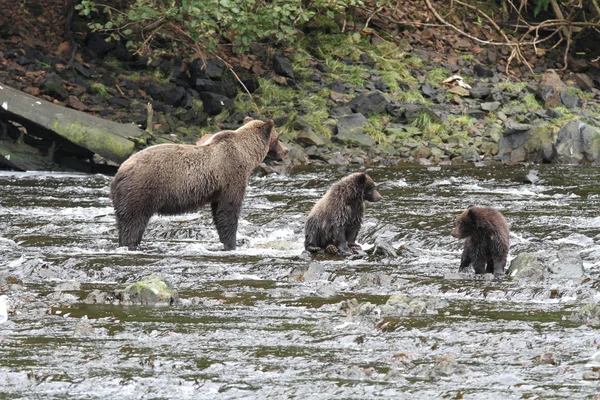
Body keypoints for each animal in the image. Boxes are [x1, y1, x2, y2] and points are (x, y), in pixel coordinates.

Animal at [110, 118, 288, 250]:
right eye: (278, 138)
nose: (287, 150)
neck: (246, 155)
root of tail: (120, 171)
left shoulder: (219, 188)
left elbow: (219, 212)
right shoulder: (231, 175)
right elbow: (228, 211)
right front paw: (232, 243)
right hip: (142, 189)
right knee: (134, 222)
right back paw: (130, 243)